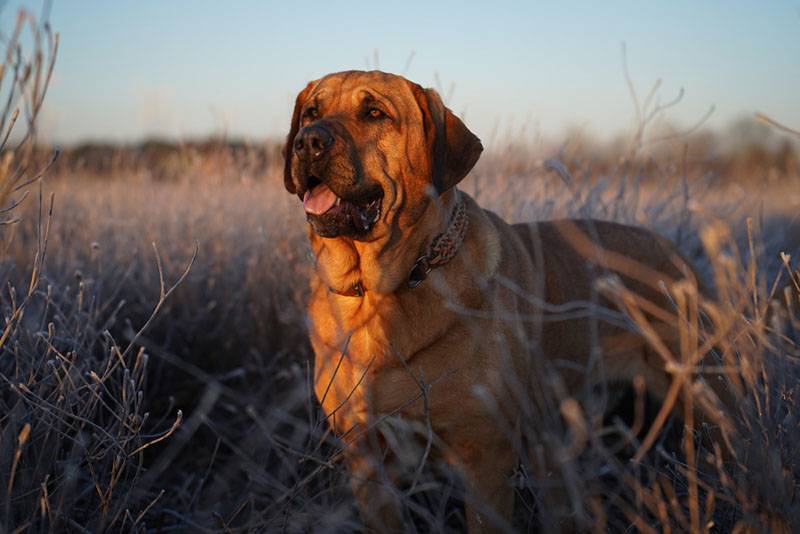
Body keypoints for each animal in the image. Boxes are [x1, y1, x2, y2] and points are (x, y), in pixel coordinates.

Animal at [282, 70, 732, 532]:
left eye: (374, 113)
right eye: (311, 112)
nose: (308, 142)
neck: (382, 290)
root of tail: (676, 251)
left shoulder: (485, 458)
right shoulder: (366, 459)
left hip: (705, 398)